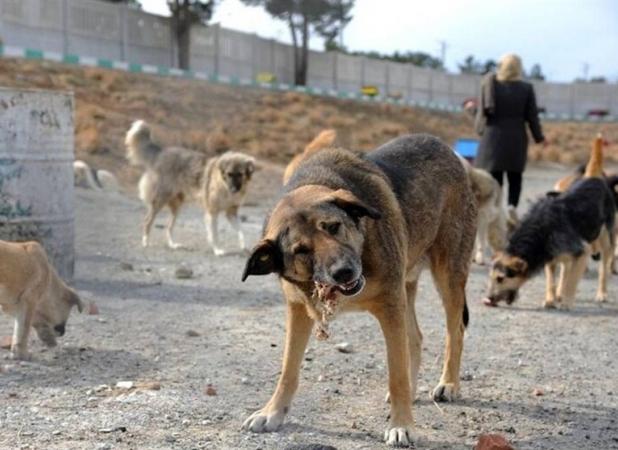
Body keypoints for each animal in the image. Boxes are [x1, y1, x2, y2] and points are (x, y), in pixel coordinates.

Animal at [125, 119, 255, 253]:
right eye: (229, 174)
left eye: (240, 174)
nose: (234, 189)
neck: (223, 185)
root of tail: (161, 152)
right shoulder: (212, 212)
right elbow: (214, 234)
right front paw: (217, 250)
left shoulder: (231, 213)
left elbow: (241, 231)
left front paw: (244, 247)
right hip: (160, 200)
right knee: (147, 221)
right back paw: (145, 242)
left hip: (177, 206)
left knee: (168, 227)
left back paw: (173, 244)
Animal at [238, 134, 474, 446]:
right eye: (301, 250)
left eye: (333, 227)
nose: (344, 272)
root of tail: (444, 146)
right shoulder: (299, 310)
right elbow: (288, 369)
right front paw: (272, 412)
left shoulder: (390, 305)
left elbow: (396, 374)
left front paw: (402, 425)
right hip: (406, 286)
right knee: (415, 337)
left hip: (448, 275)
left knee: (455, 331)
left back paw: (448, 384)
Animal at [486, 135, 616, 308]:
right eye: (490, 277)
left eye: (501, 278)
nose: (487, 299)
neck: (541, 228)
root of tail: (593, 178)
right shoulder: (550, 255)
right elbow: (551, 280)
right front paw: (550, 299)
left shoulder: (582, 251)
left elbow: (572, 281)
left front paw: (567, 302)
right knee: (565, 268)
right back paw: (560, 293)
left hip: (606, 239)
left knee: (603, 269)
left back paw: (601, 293)